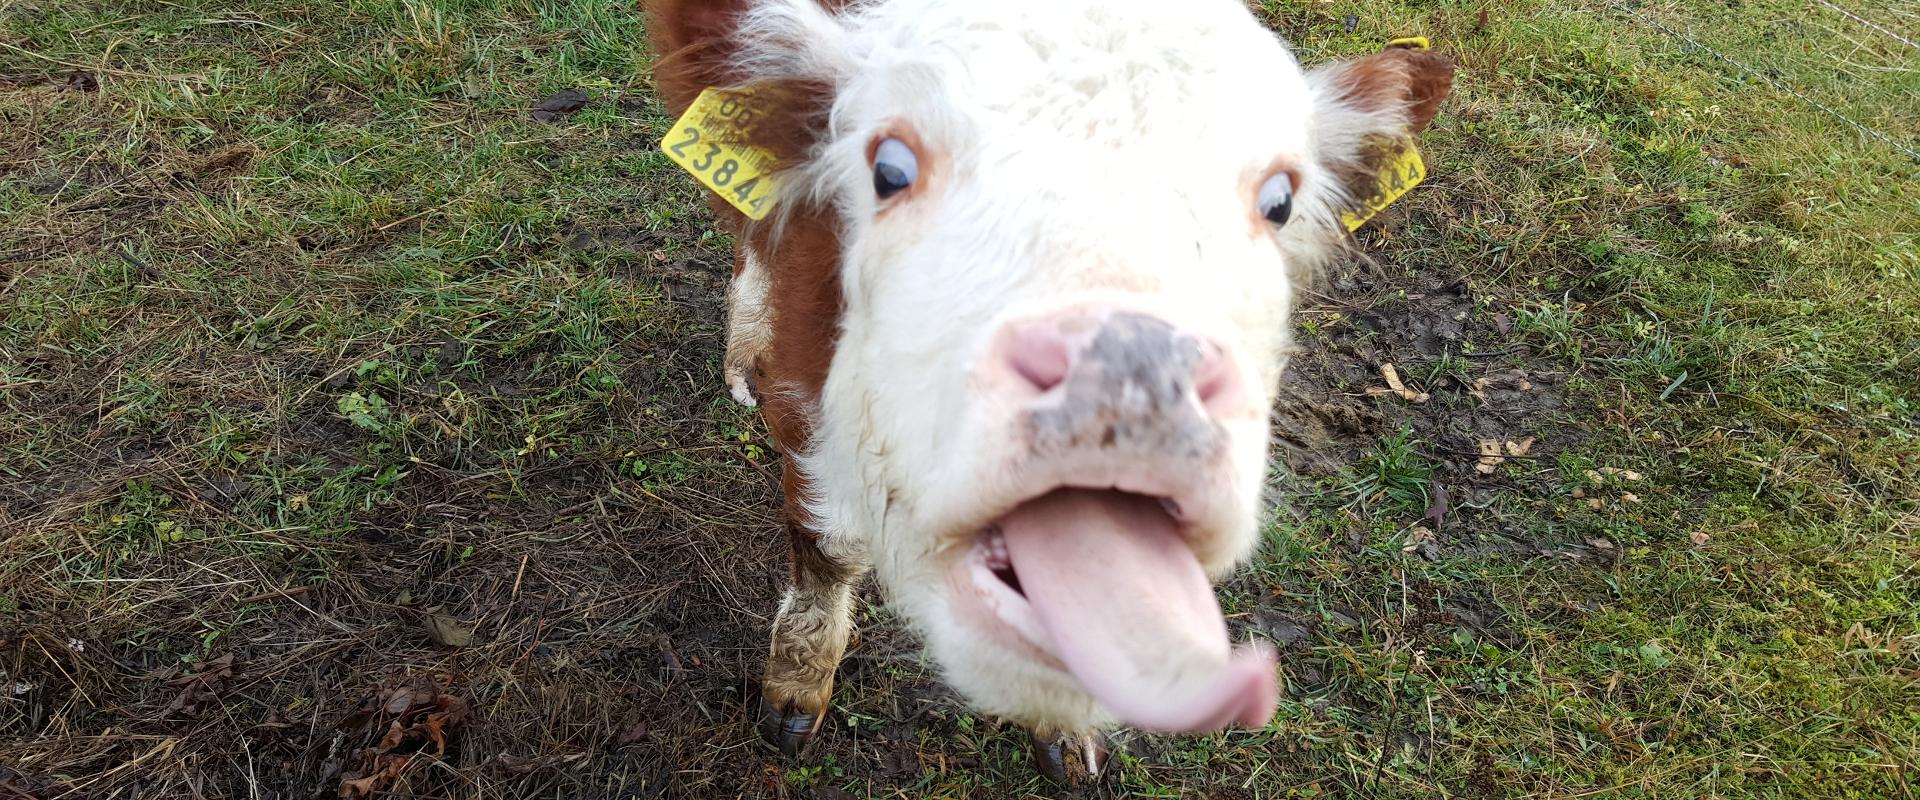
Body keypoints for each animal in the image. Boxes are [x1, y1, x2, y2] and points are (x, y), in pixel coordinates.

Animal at [645, 0, 1451, 775]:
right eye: (891, 167)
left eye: (1280, 200)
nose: (1127, 372)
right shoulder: (806, 377)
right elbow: (828, 542)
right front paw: (796, 690)